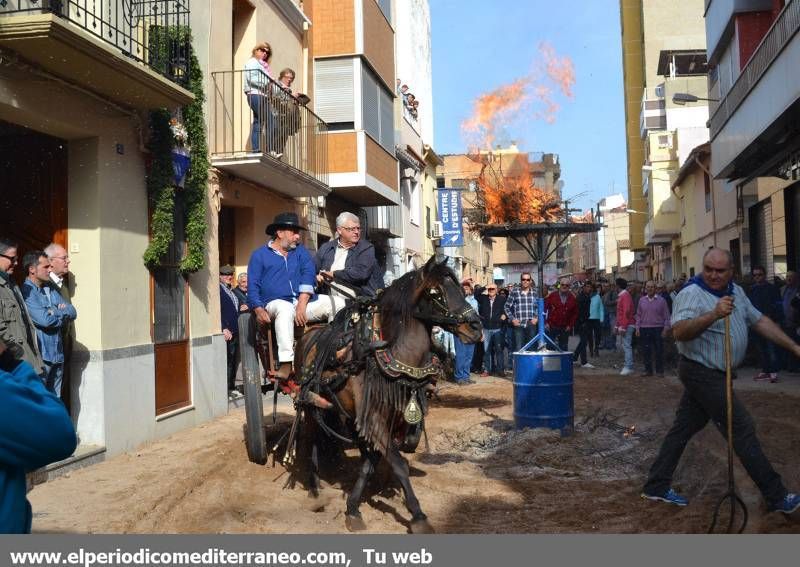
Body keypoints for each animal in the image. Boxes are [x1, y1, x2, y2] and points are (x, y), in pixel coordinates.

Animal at [290, 258, 482, 532]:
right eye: (435, 293)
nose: (476, 327)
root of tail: (308, 334)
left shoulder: (388, 417)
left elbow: (373, 461)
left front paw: (353, 507)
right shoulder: (373, 418)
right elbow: (398, 463)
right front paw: (418, 515)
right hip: (310, 404)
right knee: (311, 437)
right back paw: (315, 488)